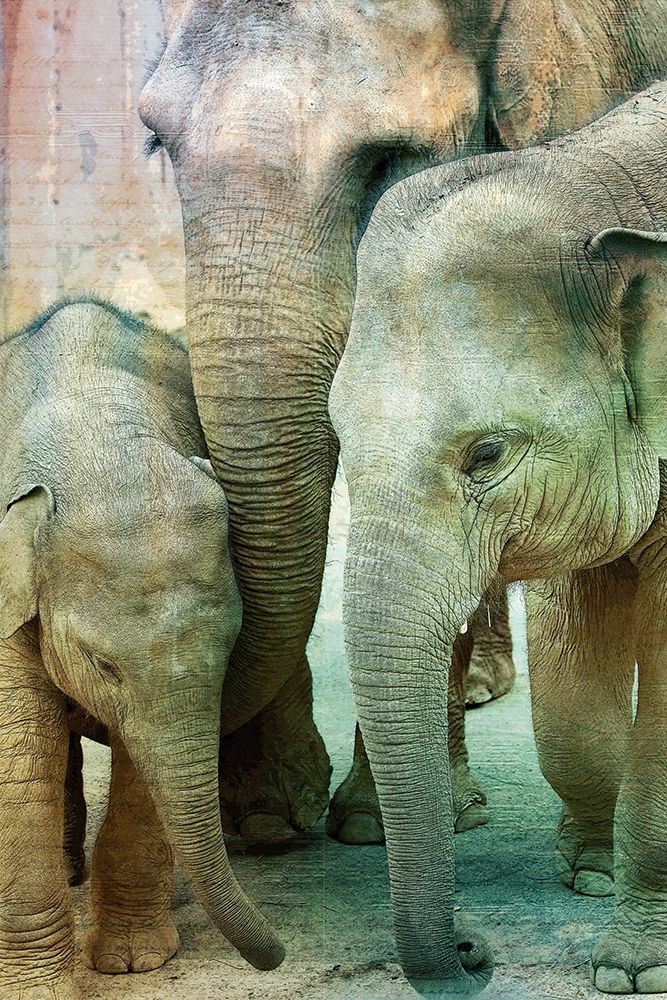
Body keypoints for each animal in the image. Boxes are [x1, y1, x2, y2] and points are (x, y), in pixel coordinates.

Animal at [0, 299, 284, 998]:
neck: (98, 441)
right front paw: (37, 990)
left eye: (231, 648)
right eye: (102, 664)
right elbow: (22, 754)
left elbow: (140, 764)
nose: (280, 954)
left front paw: (134, 963)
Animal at [329, 83, 667, 995]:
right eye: (337, 435)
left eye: (484, 453)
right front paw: (590, 875)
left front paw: (629, 969)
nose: (473, 951)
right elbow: (573, 673)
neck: (589, 184)